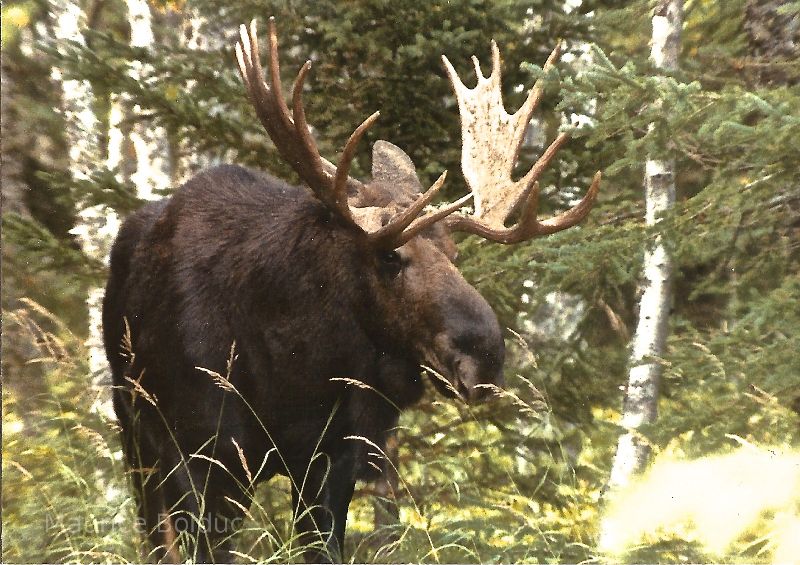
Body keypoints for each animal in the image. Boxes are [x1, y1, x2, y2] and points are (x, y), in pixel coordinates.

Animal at [101, 15, 600, 560]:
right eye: (390, 257)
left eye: (454, 255)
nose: (485, 358)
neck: (295, 369)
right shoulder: (203, 456)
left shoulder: (332, 461)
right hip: (136, 434)